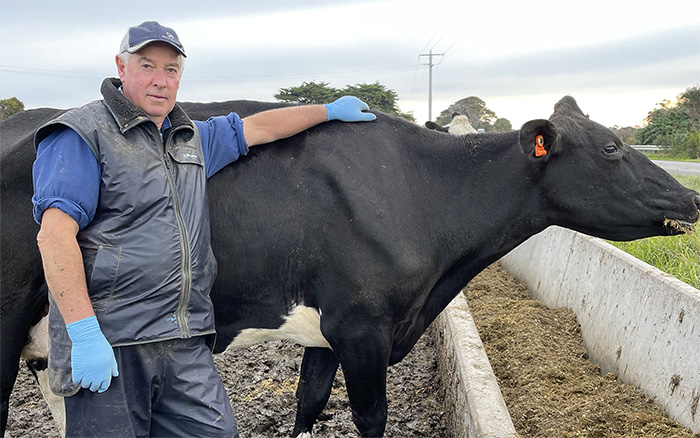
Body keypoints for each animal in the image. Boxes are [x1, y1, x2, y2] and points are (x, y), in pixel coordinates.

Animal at [2, 96, 699, 437]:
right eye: (611, 149)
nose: (691, 197)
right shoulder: (363, 327)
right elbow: (369, 418)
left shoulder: (327, 329)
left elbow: (309, 405)